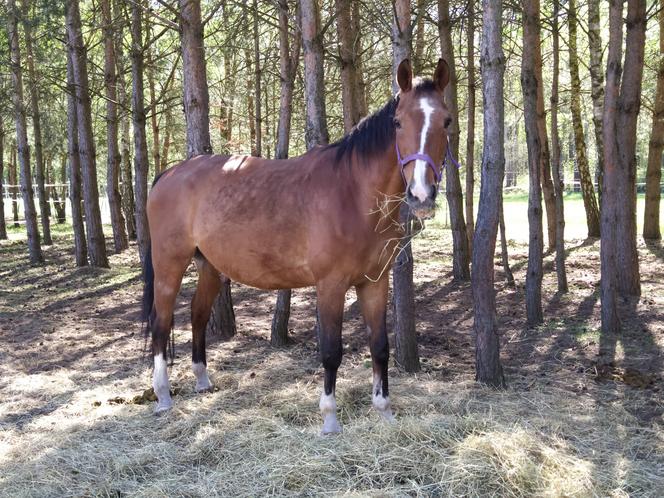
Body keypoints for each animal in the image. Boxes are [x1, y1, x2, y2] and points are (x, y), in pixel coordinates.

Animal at [143, 57, 454, 432]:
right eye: (397, 122)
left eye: (446, 121)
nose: (421, 195)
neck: (352, 194)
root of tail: (169, 174)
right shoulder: (331, 285)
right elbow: (331, 351)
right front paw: (330, 419)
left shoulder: (375, 283)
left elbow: (380, 346)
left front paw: (385, 412)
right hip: (169, 264)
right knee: (161, 323)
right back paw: (163, 396)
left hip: (211, 267)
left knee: (197, 314)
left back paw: (203, 381)